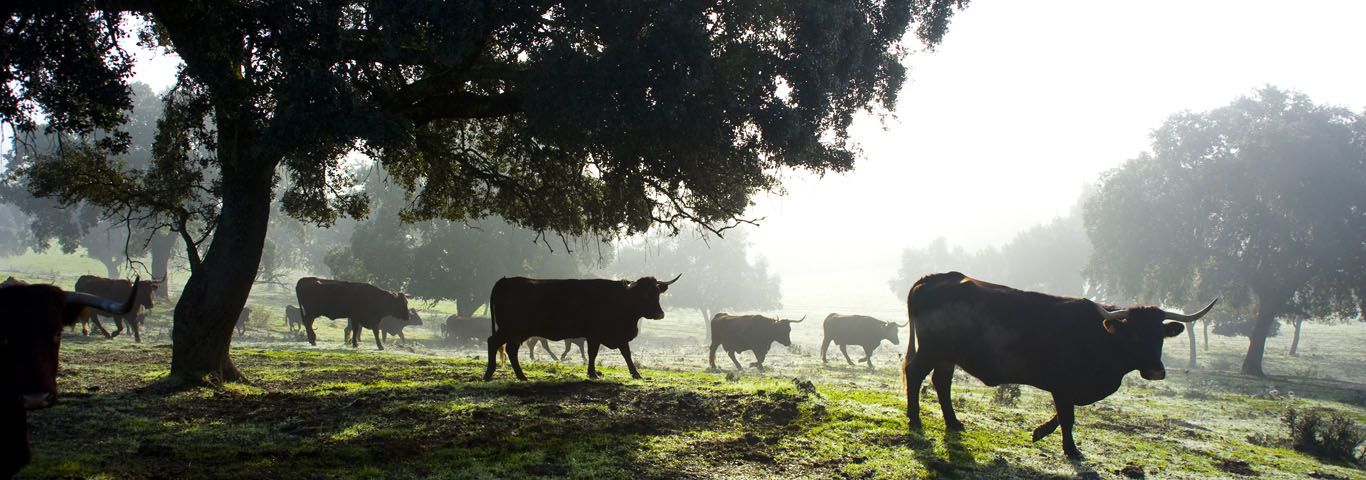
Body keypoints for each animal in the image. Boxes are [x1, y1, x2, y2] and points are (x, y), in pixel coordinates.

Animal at [483, 274, 680, 382]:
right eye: (645, 294)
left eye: (657, 293)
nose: (660, 314)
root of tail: (505, 281)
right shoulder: (595, 334)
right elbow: (593, 353)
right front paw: (592, 373)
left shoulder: (617, 335)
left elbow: (626, 353)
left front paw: (636, 374)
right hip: (513, 329)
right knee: (501, 345)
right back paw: (512, 375)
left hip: (513, 331)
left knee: (502, 346)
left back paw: (499, 374)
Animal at [901, 270, 1213, 459]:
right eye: (1135, 335)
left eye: (1160, 336)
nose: (1156, 371)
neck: (1099, 336)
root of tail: (935, 279)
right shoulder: (1062, 383)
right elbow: (1068, 416)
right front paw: (1071, 449)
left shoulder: (1069, 387)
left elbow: (1065, 413)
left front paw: (1041, 432)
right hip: (932, 350)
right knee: (915, 374)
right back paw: (915, 419)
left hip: (947, 356)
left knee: (941, 383)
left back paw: (954, 423)